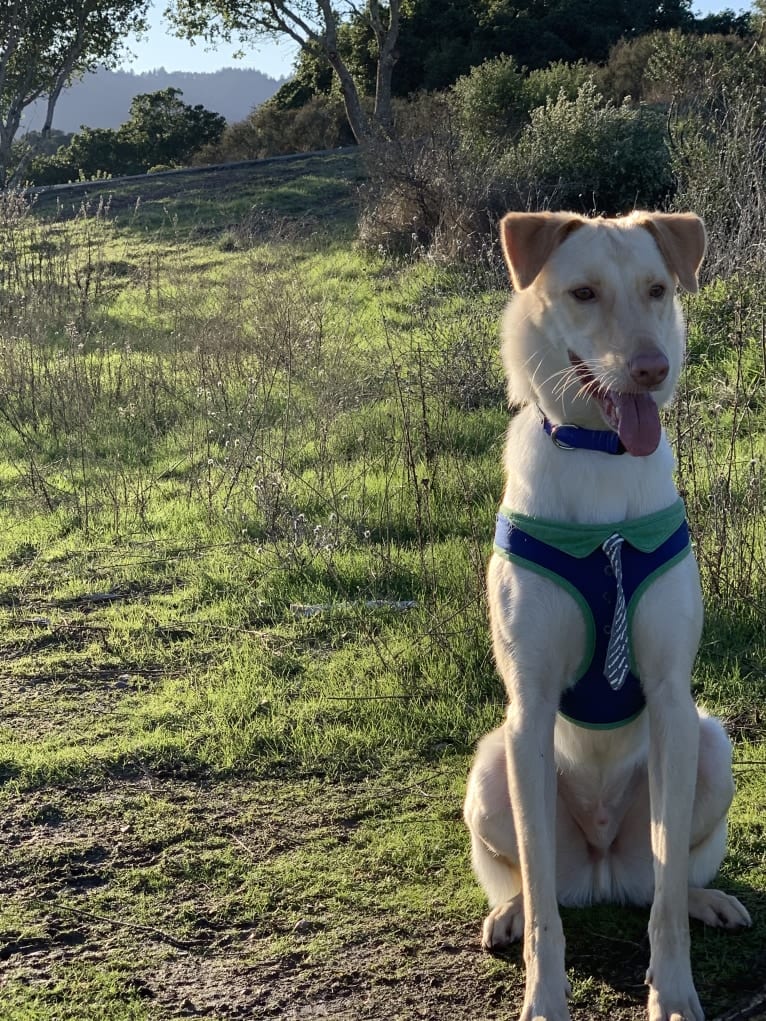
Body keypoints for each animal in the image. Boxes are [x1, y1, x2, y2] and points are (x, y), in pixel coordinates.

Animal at [465, 211, 751, 1021]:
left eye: (657, 289)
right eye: (584, 293)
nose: (651, 369)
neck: (600, 453)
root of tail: (598, 873)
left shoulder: (672, 701)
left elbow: (664, 902)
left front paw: (675, 992)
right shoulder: (528, 711)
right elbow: (544, 912)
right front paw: (543, 999)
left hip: (709, 748)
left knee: (664, 877)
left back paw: (705, 899)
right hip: (491, 766)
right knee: (534, 885)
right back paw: (506, 913)